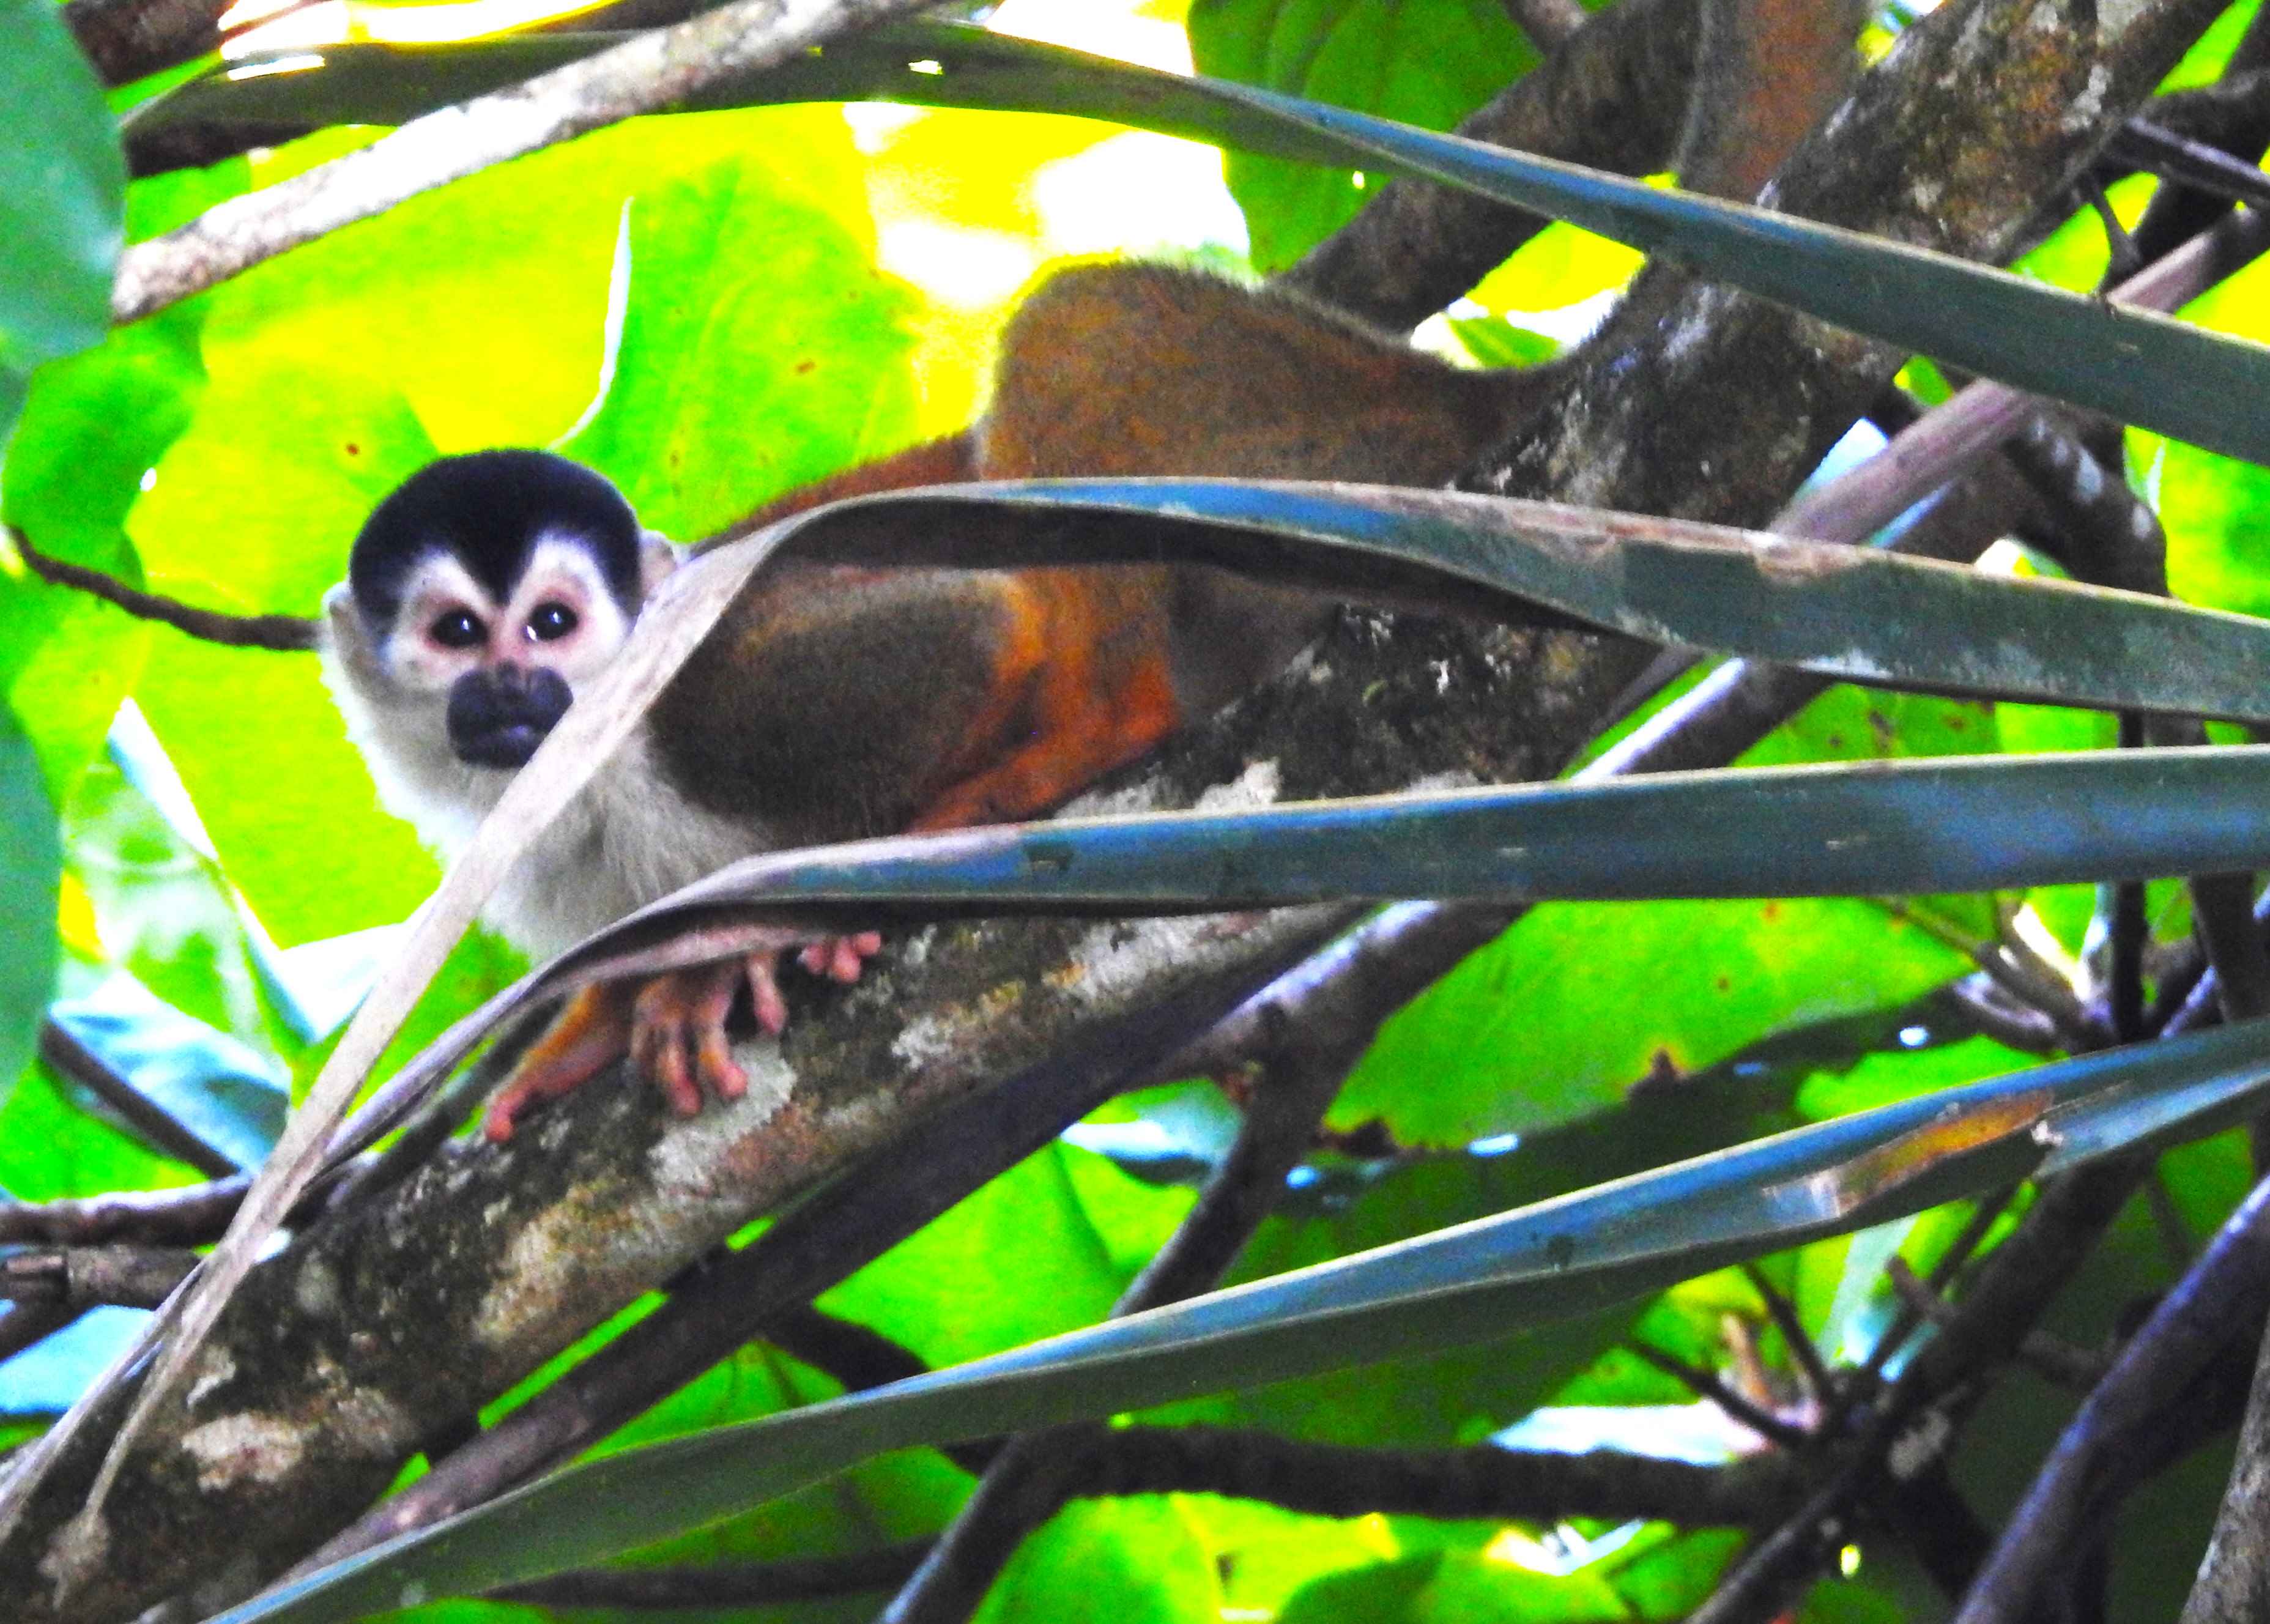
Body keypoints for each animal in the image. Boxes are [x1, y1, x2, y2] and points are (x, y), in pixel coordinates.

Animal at [317, 262, 1551, 1141]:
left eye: (553, 624)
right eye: (458, 634)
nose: (513, 691)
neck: (596, 782)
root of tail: (1464, 392)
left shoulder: (715, 693)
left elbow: (982, 627)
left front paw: (729, 961)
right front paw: (591, 1029)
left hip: (1316, 444)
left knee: (1081, 325)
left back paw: (1083, 737)